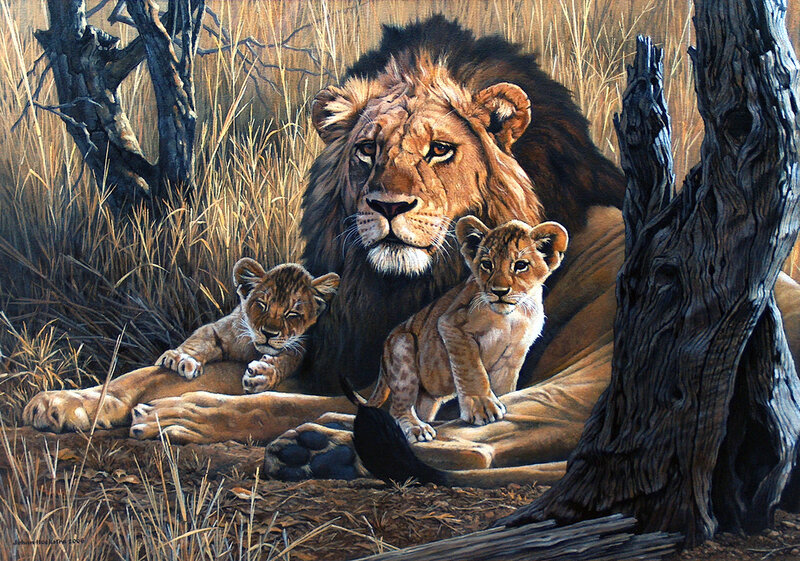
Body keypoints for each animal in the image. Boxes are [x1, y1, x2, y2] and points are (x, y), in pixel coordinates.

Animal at [155, 258, 339, 394]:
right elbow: (200, 340)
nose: (269, 333)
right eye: (262, 304)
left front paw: (263, 374)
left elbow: (285, 362)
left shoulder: (298, 348)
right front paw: (182, 358)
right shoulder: (220, 328)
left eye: (292, 314)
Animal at [366, 216, 568, 442]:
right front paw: (483, 408)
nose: (499, 291)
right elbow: (472, 369)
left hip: (427, 396)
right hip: (402, 346)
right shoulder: (451, 324)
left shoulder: (514, 352)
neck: (512, 316)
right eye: (487, 264)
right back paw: (418, 428)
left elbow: (504, 386)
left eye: (521, 265)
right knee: (398, 407)